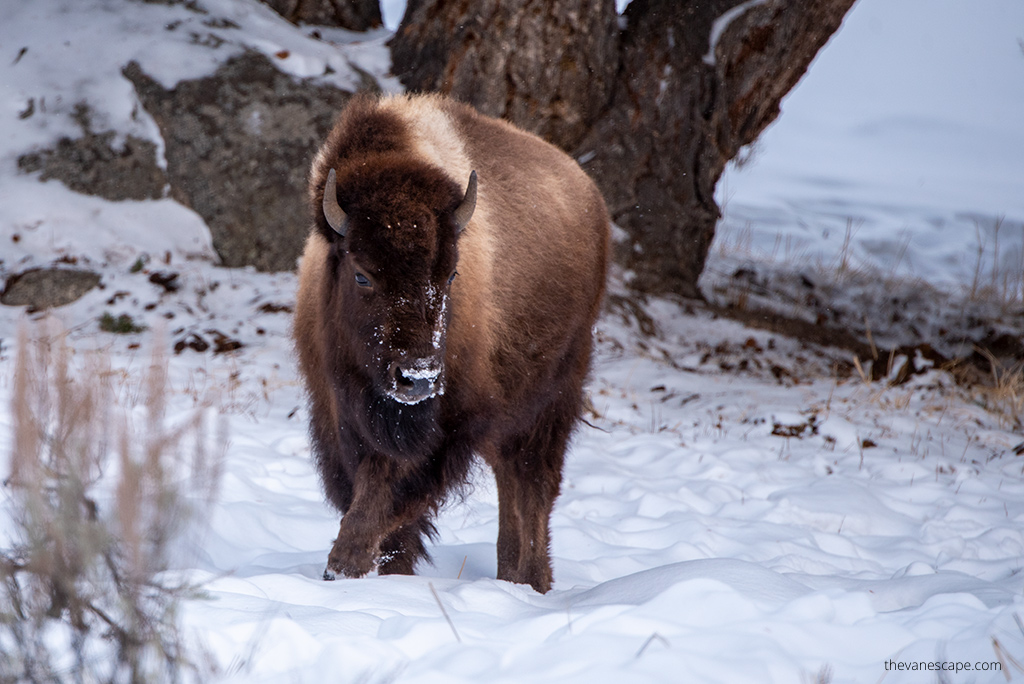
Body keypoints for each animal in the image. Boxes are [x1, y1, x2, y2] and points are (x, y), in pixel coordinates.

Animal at [292, 92, 602, 593]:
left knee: (532, 486)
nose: (417, 377)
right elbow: (373, 502)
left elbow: (386, 497)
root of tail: (589, 193)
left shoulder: (449, 425)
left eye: (451, 273)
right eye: (362, 273)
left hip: (551, 400)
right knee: (511, 483)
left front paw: (342, 567)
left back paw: (531, 581)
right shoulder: (335, 414)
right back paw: (511, 576)